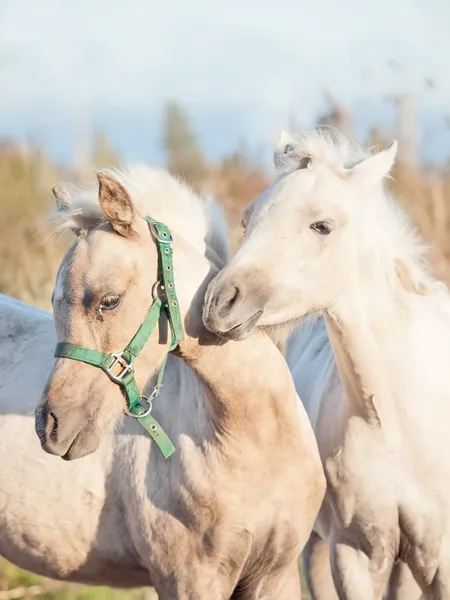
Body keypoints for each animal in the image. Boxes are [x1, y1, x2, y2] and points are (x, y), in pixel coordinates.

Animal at [205, 132, 450, 600]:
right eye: (248, 221)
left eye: (322, 226)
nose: (218, 303)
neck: (393, 424)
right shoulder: (352, 554)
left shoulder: (439, 557)